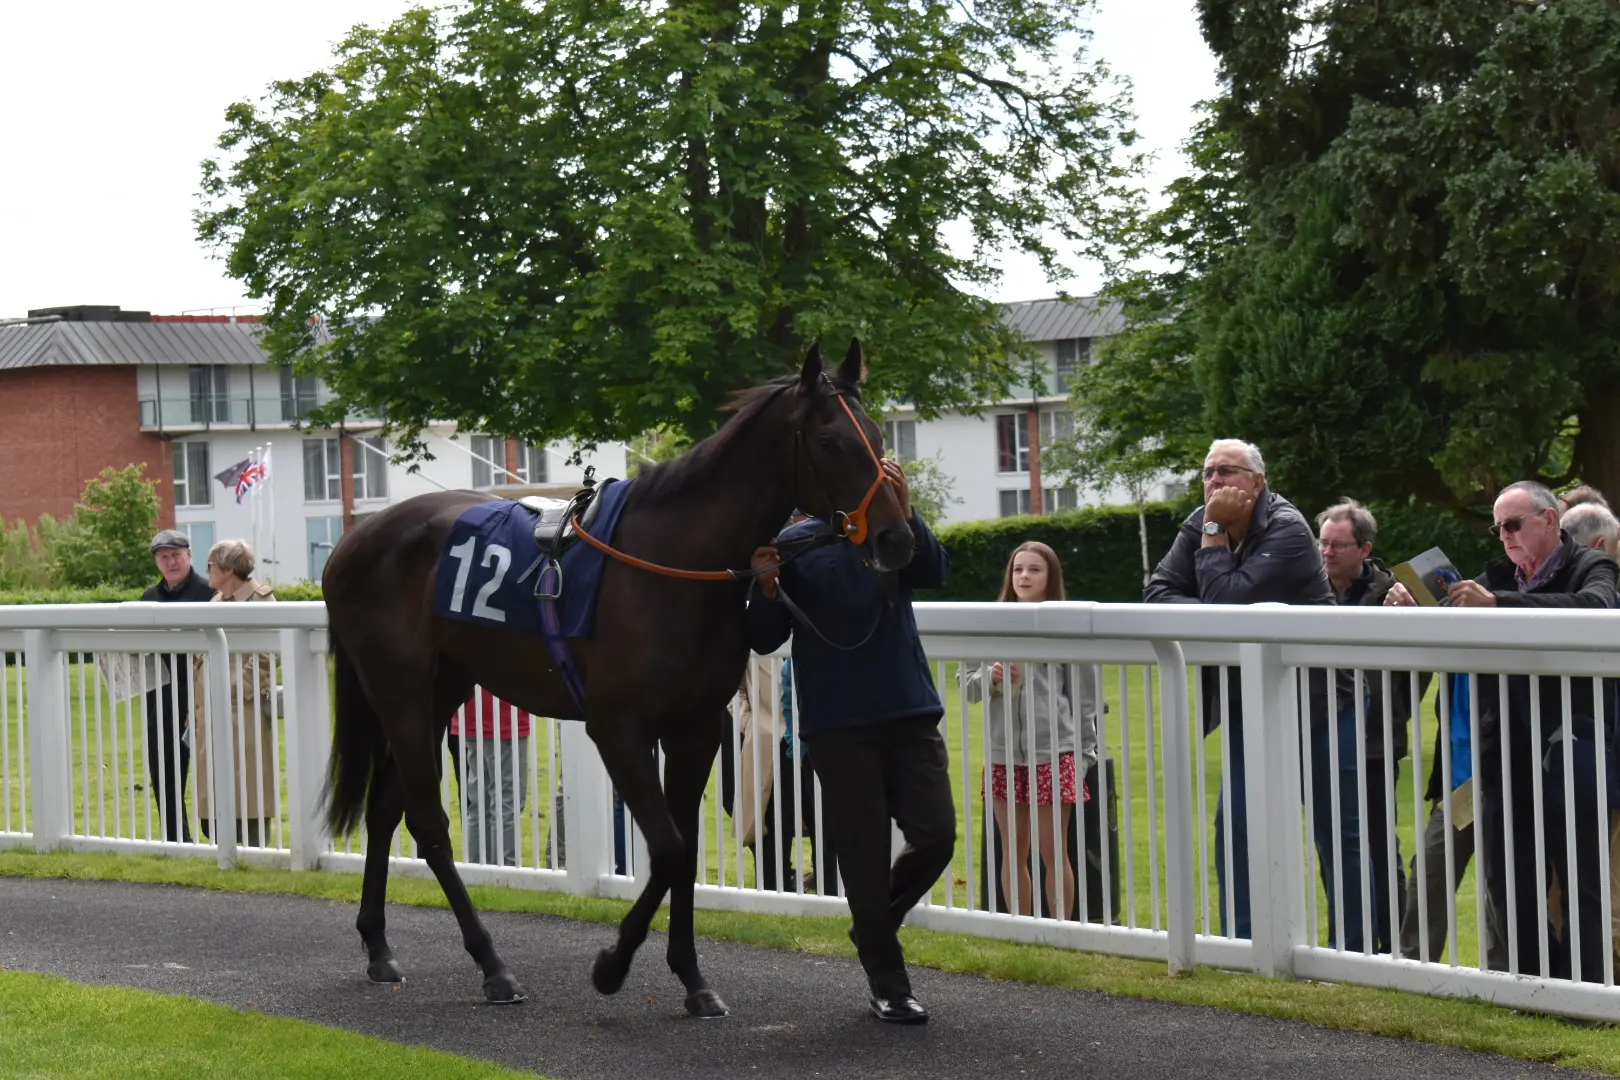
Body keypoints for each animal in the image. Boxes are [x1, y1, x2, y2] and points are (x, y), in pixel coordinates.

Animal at [322, 341, 920, 1016]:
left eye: (877, 436)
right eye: (828, 440)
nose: (897, 538)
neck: (674, 561)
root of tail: (349, 544)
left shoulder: (695, 728)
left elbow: (684, 852)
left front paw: (692, 979)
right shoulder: (617, 728)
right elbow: (668, 849)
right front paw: (611, 965)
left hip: (440, 691)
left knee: (384, 810)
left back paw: (378, 946)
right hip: (398, 691)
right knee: (427, 823)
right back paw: (493, 966)